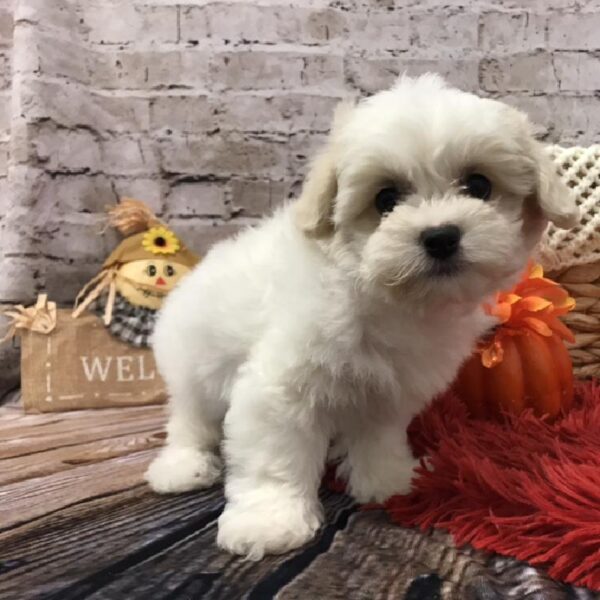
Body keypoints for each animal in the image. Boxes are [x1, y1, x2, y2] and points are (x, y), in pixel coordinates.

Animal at [144, 74, 576, 556]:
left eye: (479, 185)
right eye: (385, 198)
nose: (441, 236)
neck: (385, 297)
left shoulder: (389, 390)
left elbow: (379, 437)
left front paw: (389, 480)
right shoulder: (278, 388)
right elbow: (274, 456)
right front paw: (269, 521)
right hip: (191, 368)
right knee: (189, 420)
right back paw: (183, 467)